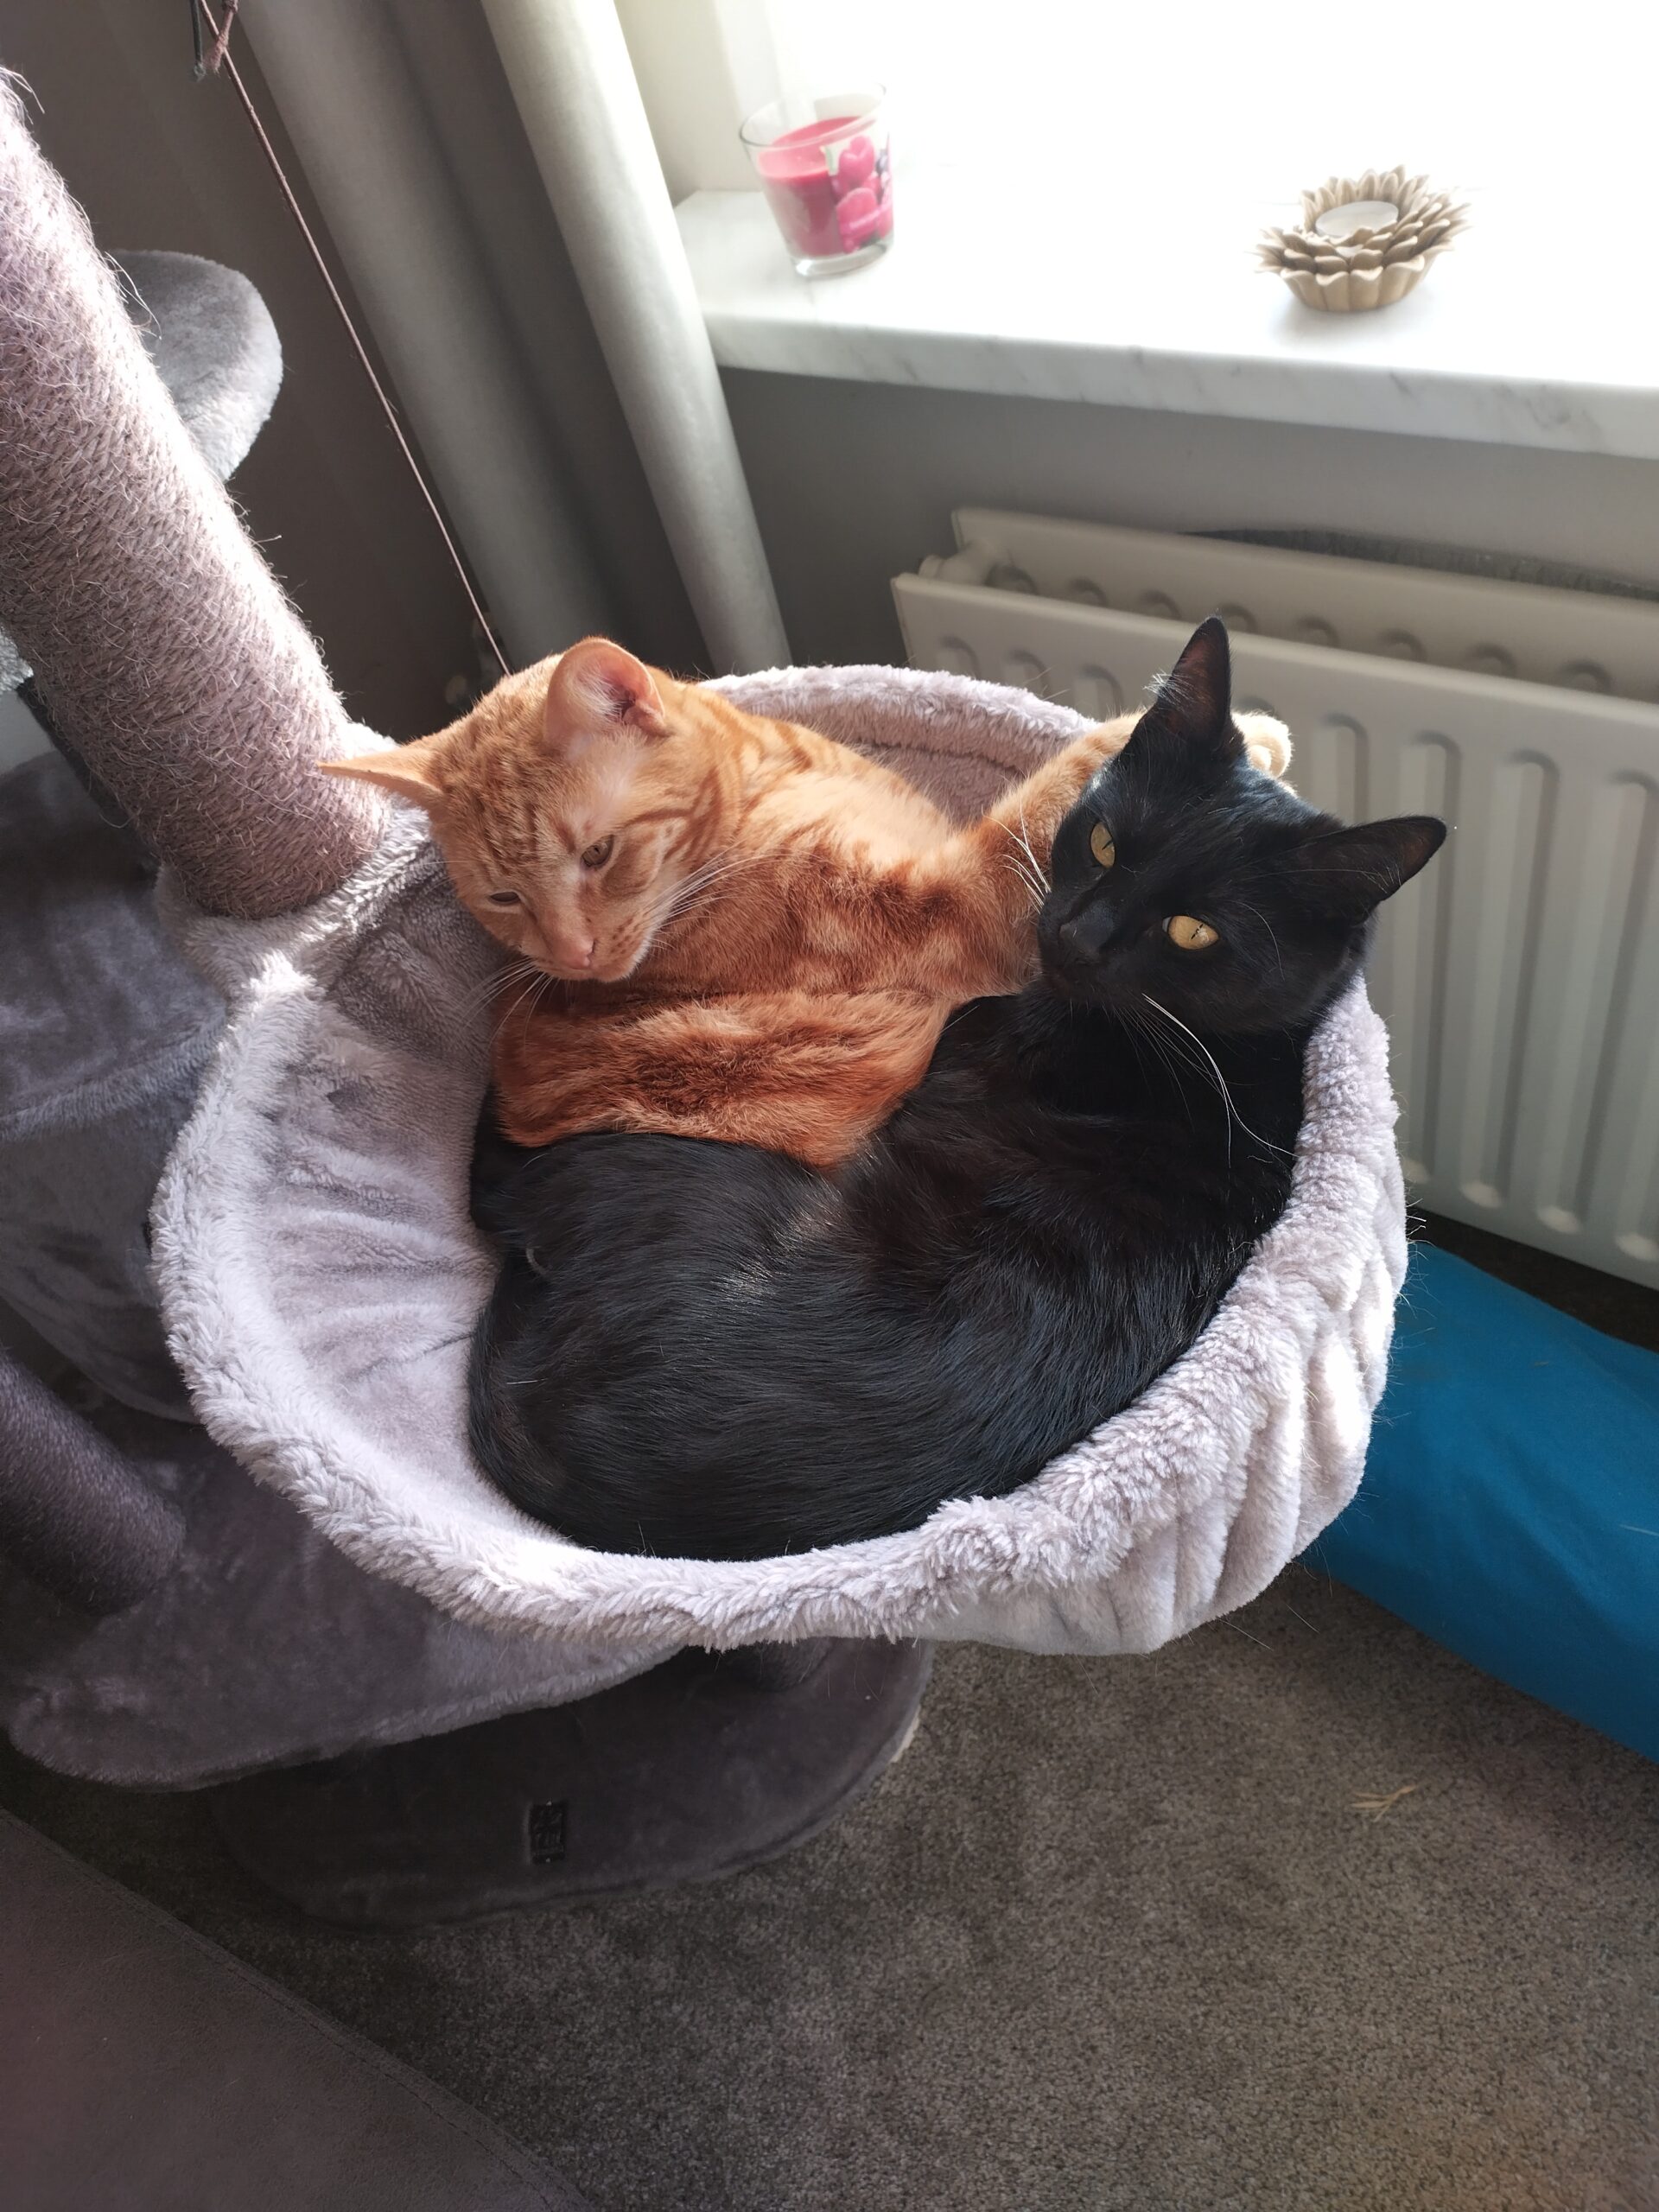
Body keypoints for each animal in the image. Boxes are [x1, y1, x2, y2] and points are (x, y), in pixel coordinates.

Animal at [323, 638, 1292, 1170]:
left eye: (596, 854)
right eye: (504, 895)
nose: (573, 958)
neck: (763, 783)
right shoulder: (957, 909)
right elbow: (1046, 803)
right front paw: (1251, 731)